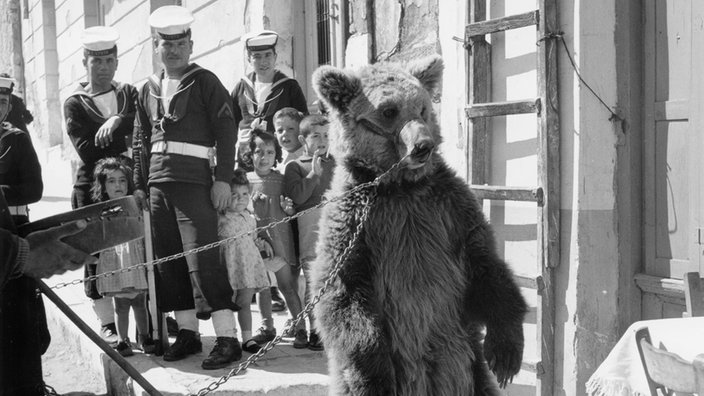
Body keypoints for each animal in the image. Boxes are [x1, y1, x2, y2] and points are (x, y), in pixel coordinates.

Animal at [310, 55, 524, 396]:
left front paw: (505, 353)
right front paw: (373, 371)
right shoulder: (354, 221)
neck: (399, 187)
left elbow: (485, 264)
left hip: (467, 363)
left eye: (422, 107)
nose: (423, 145)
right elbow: (343, 288)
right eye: (389, 110)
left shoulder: (449, 209)